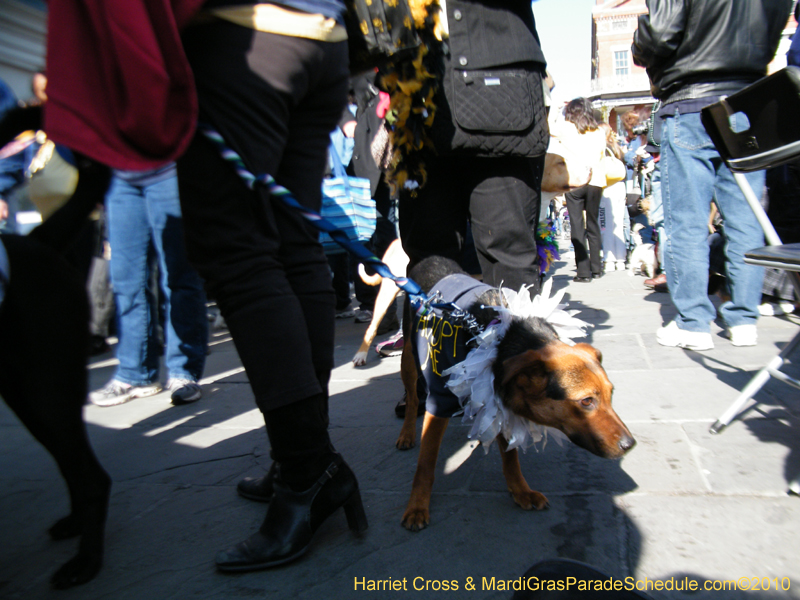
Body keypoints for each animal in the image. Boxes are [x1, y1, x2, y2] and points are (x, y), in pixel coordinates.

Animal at [396, 256, 636, 528]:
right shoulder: (439, 403)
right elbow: (425, 464)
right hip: (408, 358)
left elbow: (510, 459)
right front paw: (417, 506)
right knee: (413, 399)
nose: (630, 445)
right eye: (586, 401)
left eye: (611, 394)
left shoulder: (497, 402)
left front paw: (521, 491)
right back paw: (407, 434)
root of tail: (429, 258)